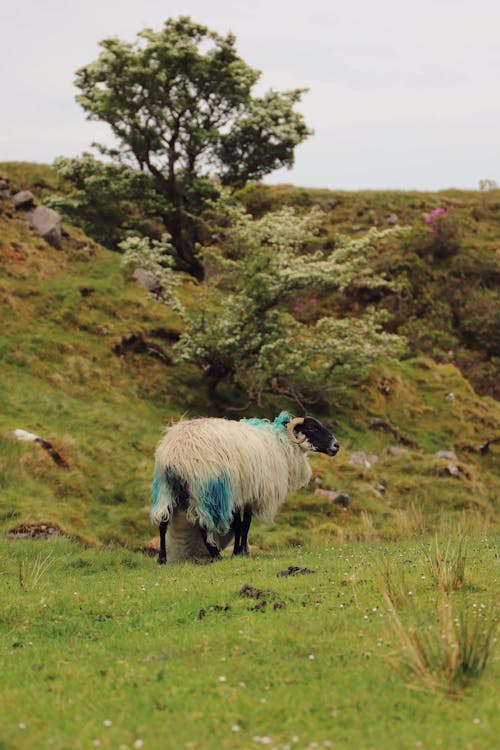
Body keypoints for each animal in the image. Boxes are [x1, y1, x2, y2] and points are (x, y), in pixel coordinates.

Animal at [152, 412, 340, 564]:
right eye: (312, 428)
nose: (336, 446)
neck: (280, 443)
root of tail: (176, 453)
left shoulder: (241, 494)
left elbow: (239, 524)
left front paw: (239, 551)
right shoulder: (250, 493)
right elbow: (244, 524)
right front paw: (240, 552)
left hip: (167, 488)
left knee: (163, 522)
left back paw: (162, 558)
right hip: (204, 489)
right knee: (202, 524)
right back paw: (215, 555)